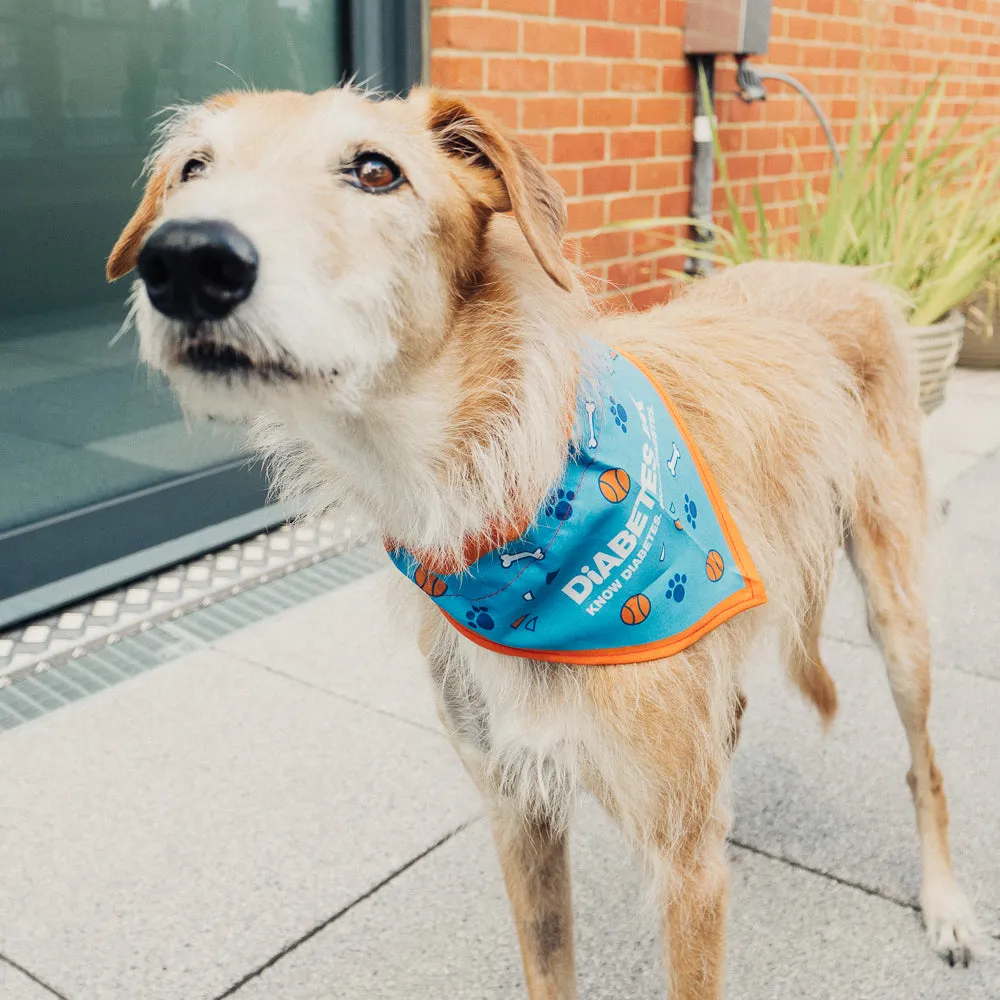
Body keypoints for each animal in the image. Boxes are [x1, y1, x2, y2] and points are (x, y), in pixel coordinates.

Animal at [105, 88, 980, 1000]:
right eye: (193, 169)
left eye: (376, 170)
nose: (186, 261)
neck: (508, 488)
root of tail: (846, 272)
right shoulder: (517, 809)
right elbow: (549, 964)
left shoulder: (684, 868)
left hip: (896, 608)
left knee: (925, 765)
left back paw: (947, 905)